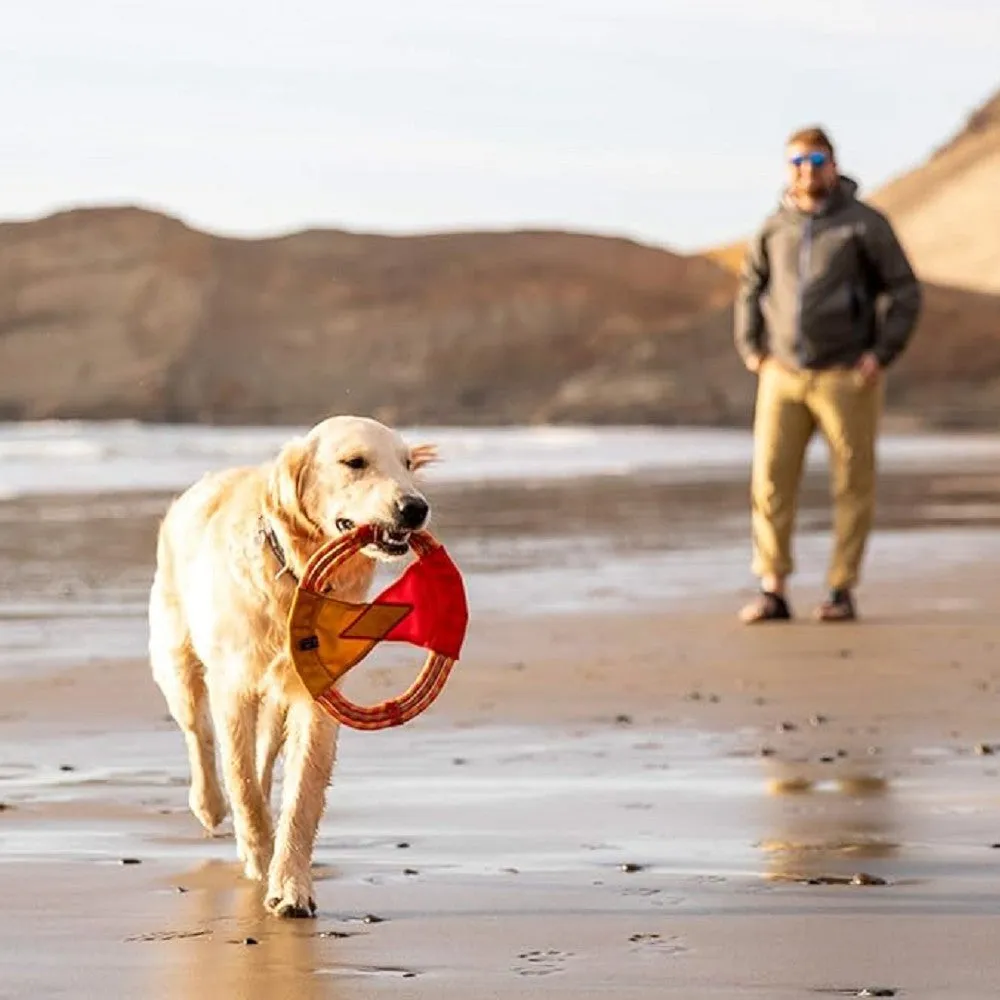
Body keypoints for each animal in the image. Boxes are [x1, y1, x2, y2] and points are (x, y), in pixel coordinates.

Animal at [146, 414, 436, 916]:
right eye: (354, 462)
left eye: (407, 464)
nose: (415, 508)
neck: (292, 575)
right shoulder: (233, 688)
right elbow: (239, 778)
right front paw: (260, 857)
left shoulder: (316, 697)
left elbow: (302, 793)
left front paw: (290, 885)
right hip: (177, 660)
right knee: (199, 734)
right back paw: (210, 805)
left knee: (263, 756)